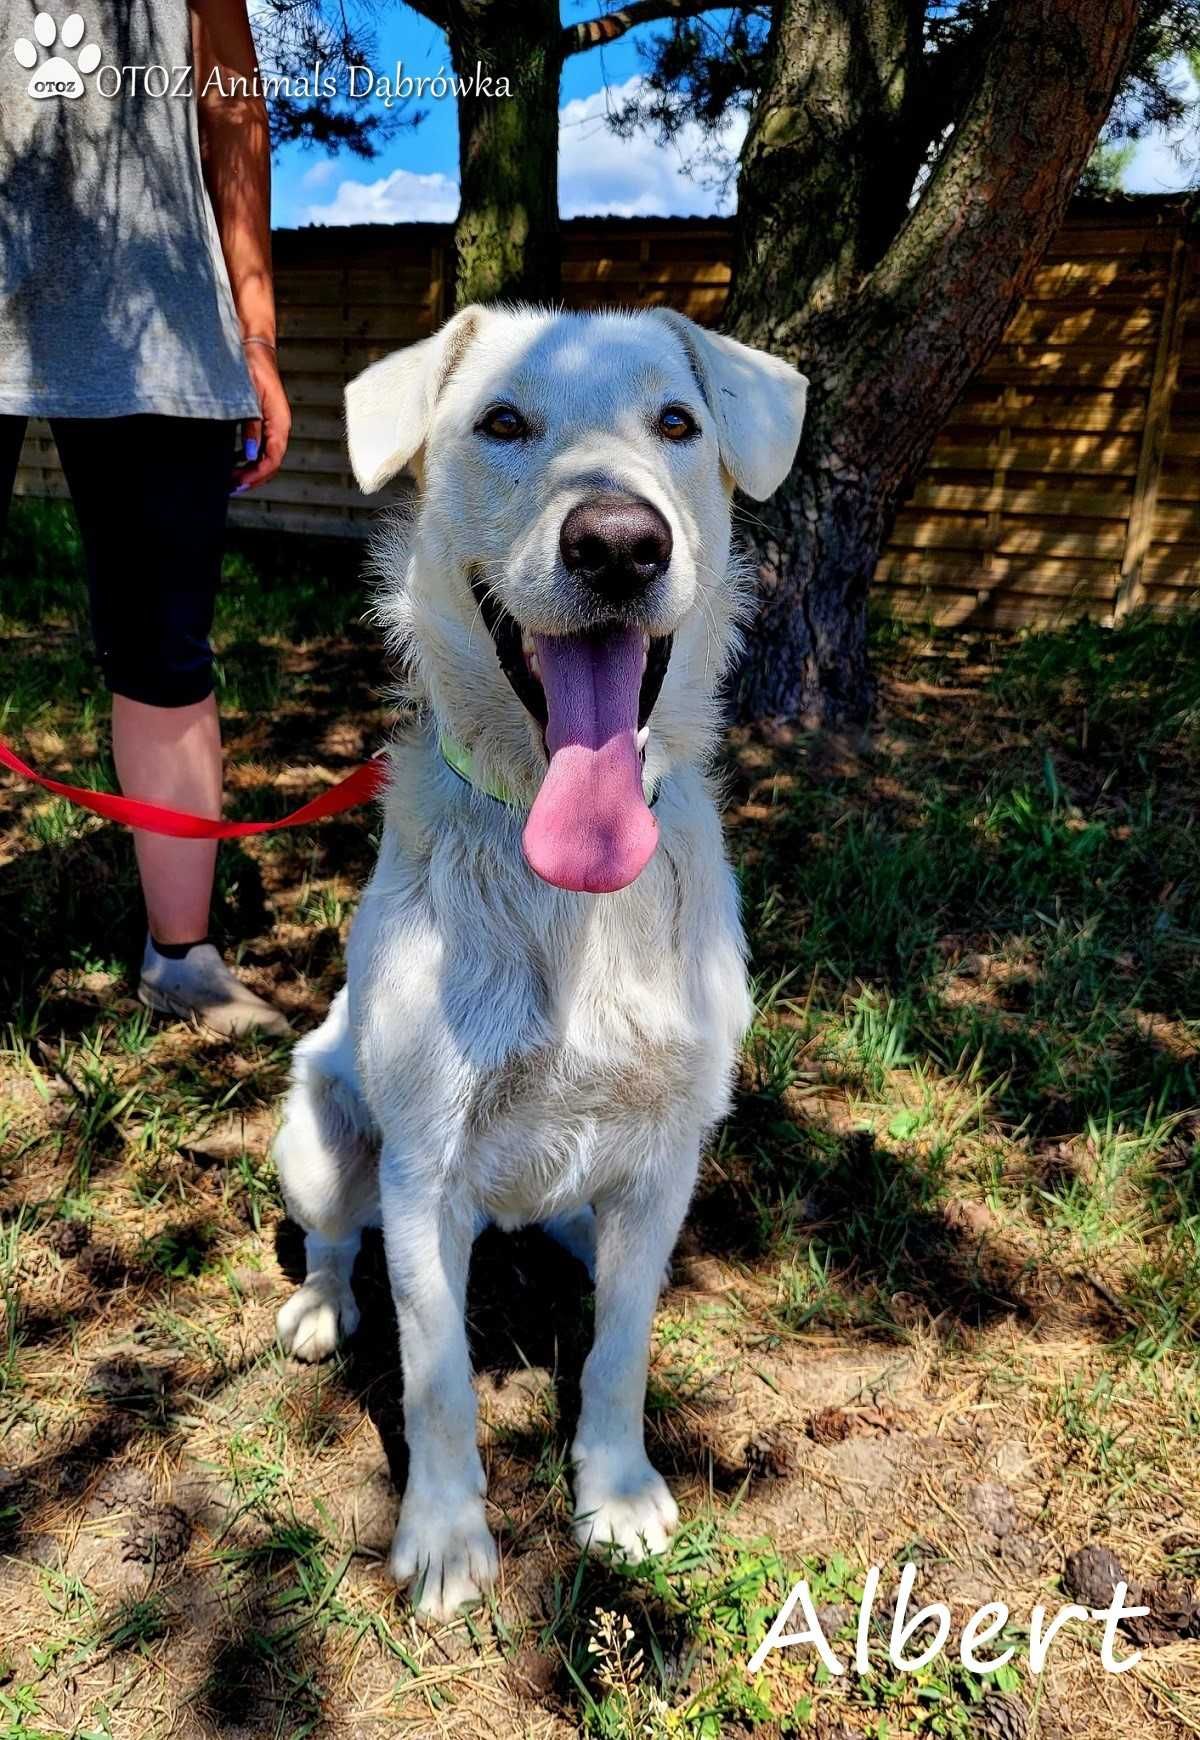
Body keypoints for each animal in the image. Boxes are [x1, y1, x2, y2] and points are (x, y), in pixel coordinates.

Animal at [266, 299, 800, 1614]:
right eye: (502, 423)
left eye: (679, 423)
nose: (619, 546)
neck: (574, 893)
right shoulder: (425, 1177)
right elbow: (437, 1381)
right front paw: (446, 1537)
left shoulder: (663, 1164)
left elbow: (619, 1350)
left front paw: (614, 1494)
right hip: (320, 1141)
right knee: (334, 1244)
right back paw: (319, 1309)